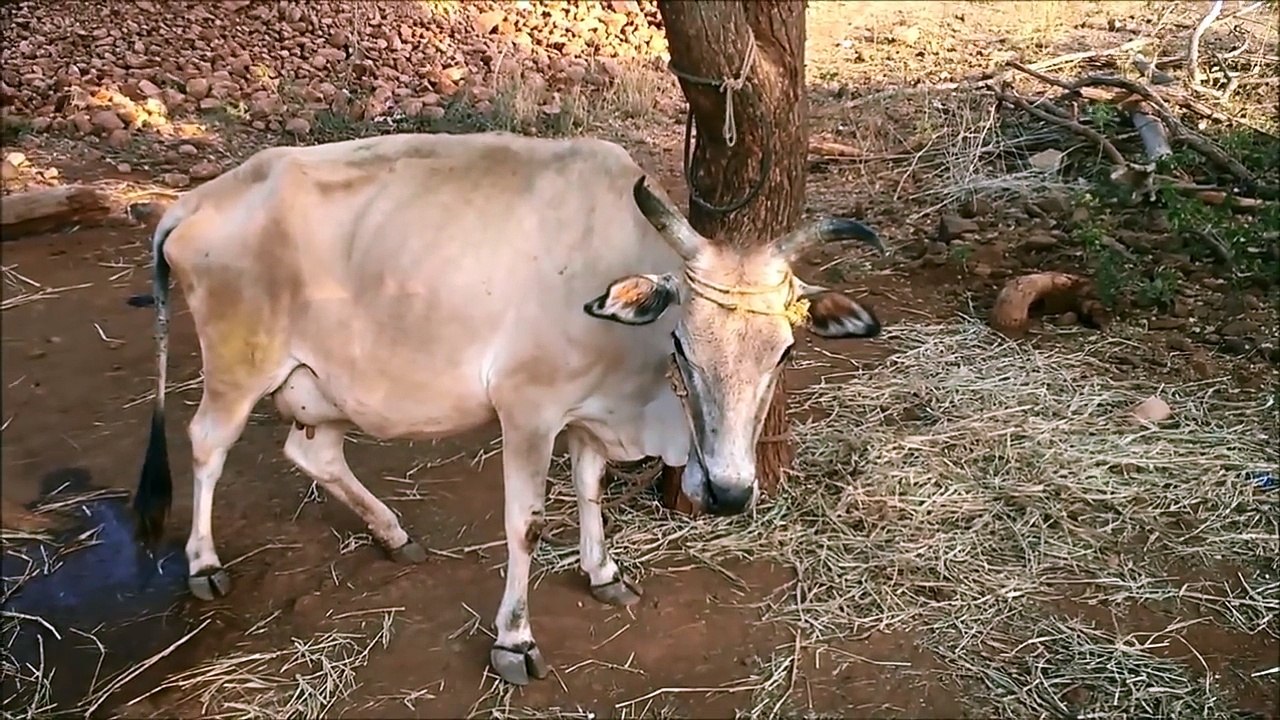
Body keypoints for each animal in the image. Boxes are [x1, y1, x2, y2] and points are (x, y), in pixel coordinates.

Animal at [130, 131, 884, 685]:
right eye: (682, 345)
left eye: (784, 352)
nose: (728, 492)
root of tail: (197, 199)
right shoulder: (529, 410)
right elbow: (526, 524)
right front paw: (515, 640)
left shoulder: (587, 414)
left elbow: (591, 491)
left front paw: (603, 573)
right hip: (239, 366)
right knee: (207, 442)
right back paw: (203, 564)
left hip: (322, 383)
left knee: (311, 452)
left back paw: (393, 533)